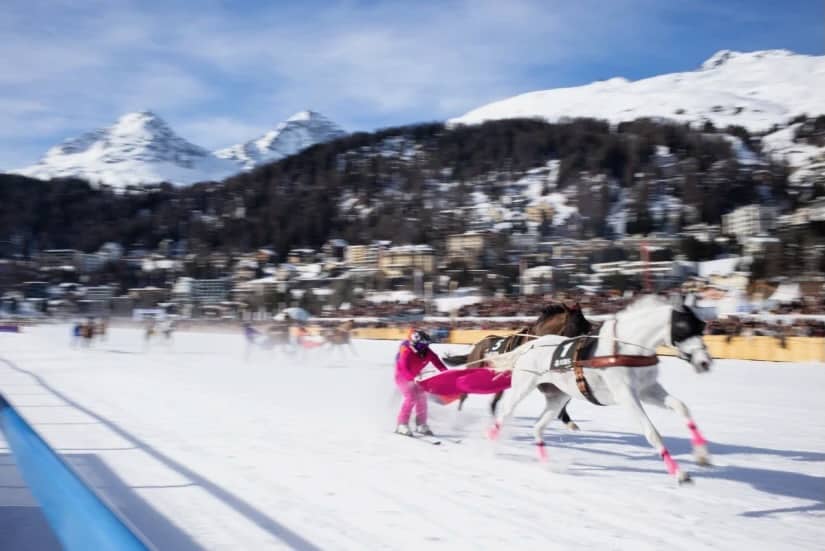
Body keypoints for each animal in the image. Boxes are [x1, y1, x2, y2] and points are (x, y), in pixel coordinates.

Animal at [445, 302, 593, 426]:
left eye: (588, 325)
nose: (584, 349)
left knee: (492, 403)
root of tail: (477, 345)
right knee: (465, 392)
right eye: (576, 324)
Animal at [488, 295, 712, 483]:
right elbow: (651, 432)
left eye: (701, 327)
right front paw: (679, 473)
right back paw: (493, 445)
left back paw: (547, 463)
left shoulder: (648, 389)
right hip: (523, 386)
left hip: (558, 397)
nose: (705, 362)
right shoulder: (626, 394)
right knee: (505, 413)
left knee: (538, 427)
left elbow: (681, 406)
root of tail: (532, 345)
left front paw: (702, 455)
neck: (626, 349)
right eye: (684, 327)